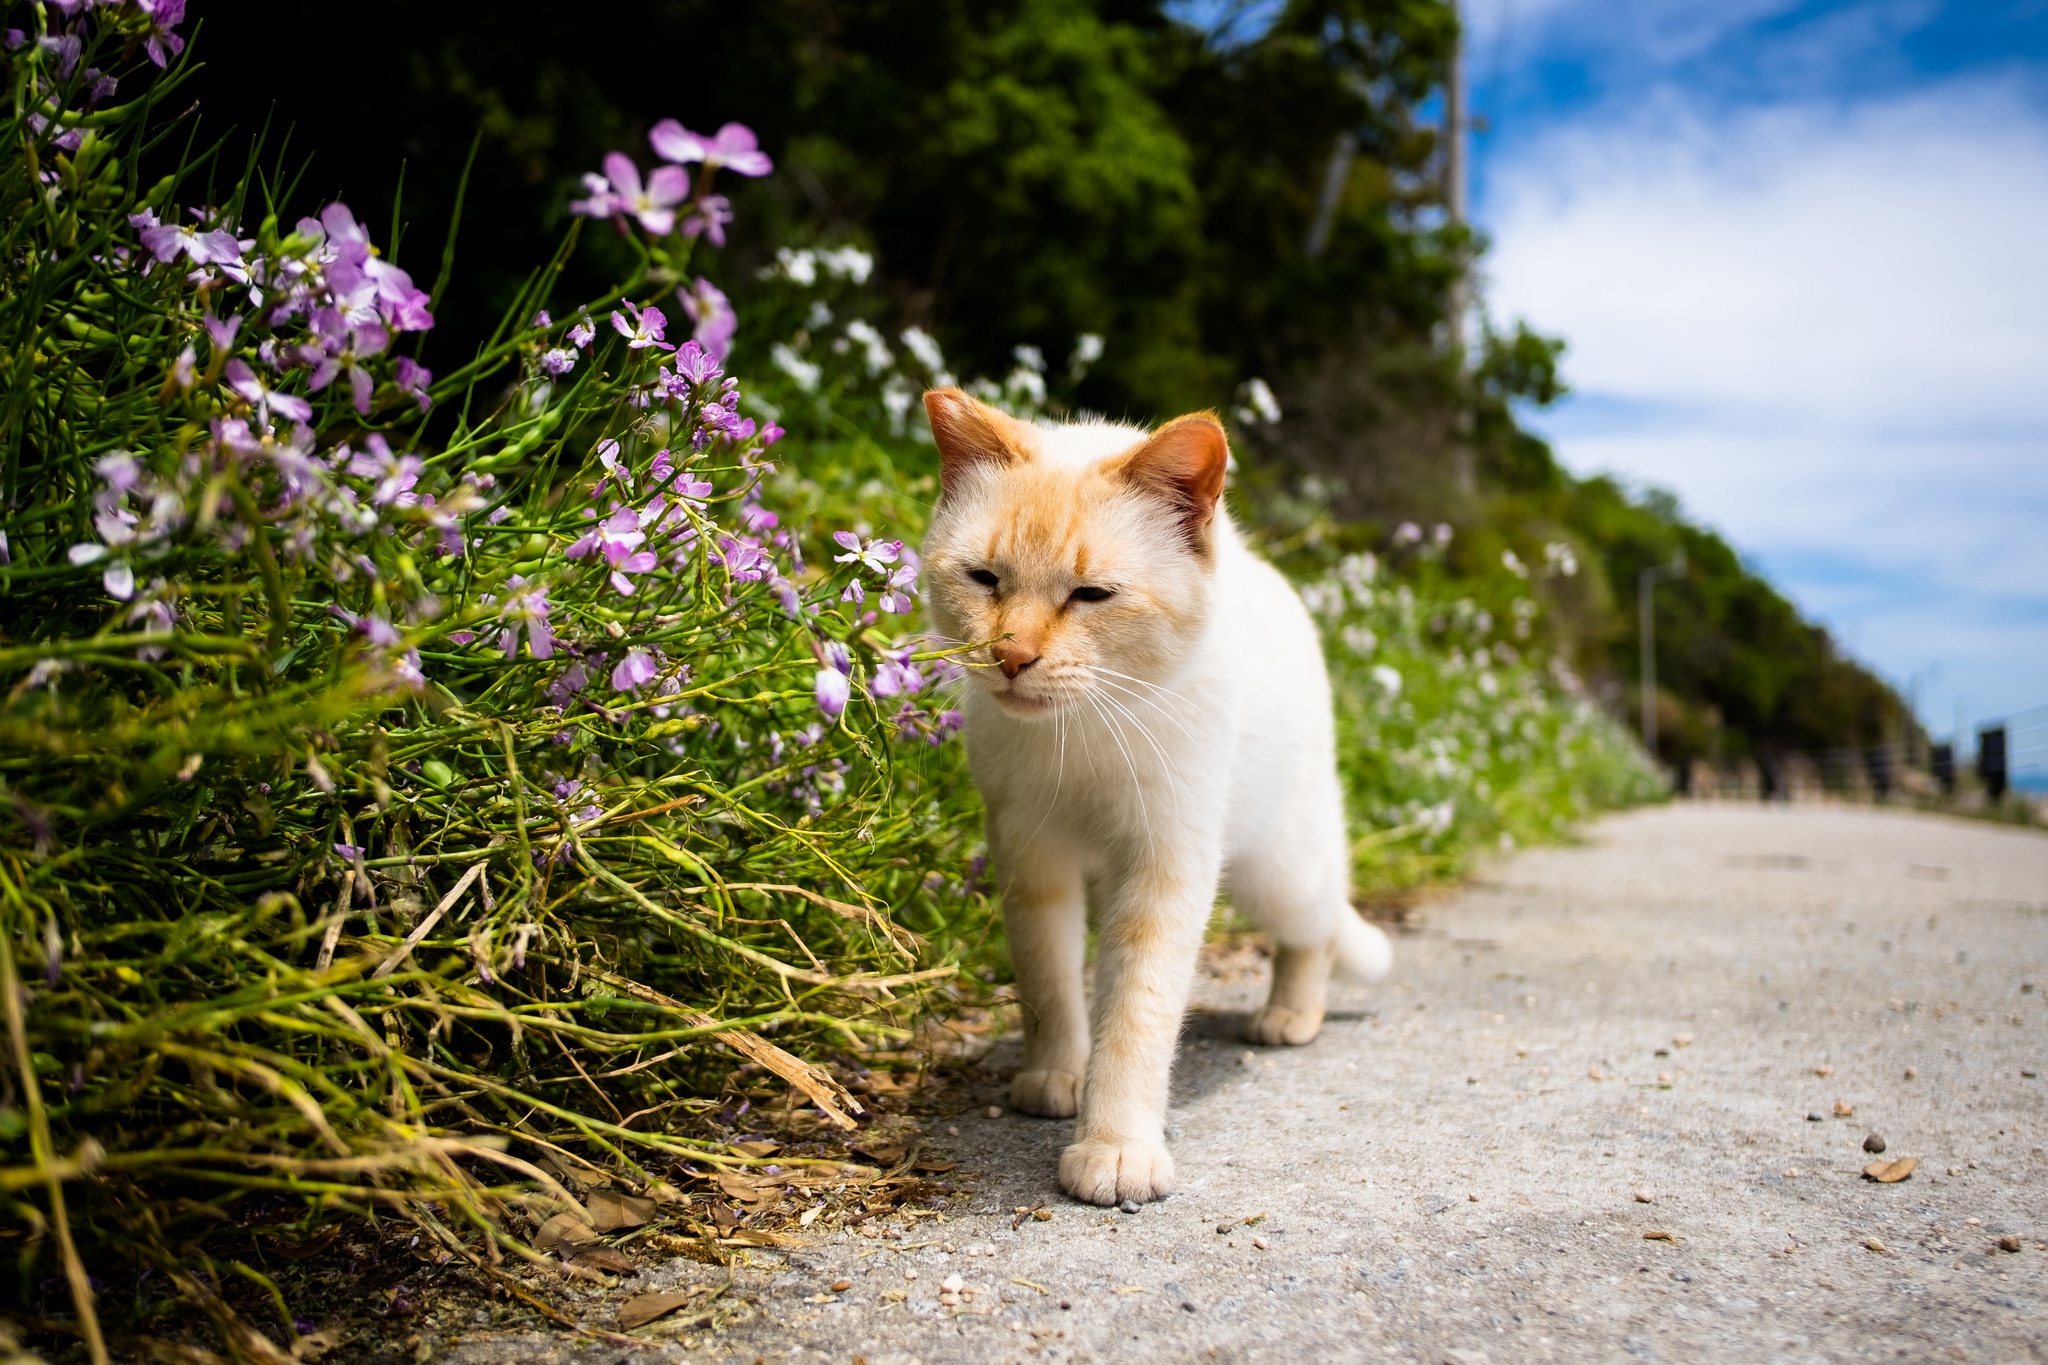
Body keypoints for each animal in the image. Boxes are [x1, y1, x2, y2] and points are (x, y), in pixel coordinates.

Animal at [925, 386, 1392, 1203]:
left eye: (1091, 595)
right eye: (985, 579)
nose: (1011, 656)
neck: (1078, 733)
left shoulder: (1163, 864)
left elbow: (1136, 1017)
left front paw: (1115, 1148)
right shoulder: (1029, 856)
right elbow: (1050, 983)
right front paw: (1057, 1076)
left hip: (1277, 871)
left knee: (1320, 929)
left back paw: (1290, 1015)